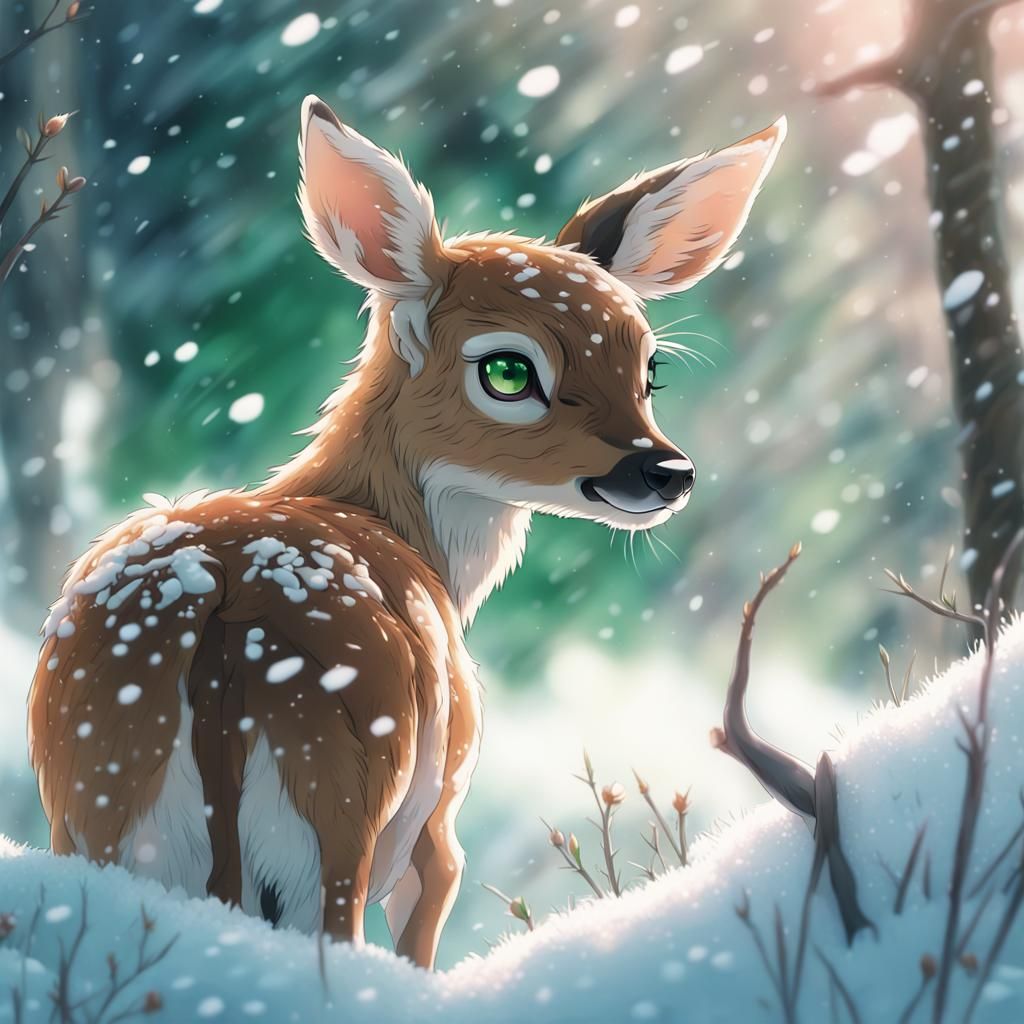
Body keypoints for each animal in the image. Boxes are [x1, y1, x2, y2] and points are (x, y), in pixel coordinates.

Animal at [27, 95, 784, 969]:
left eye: (650, 366)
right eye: (508, 370)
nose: (663, 471)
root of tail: (219, 617)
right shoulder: (440, 818)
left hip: (92, 808)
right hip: (348, 810)